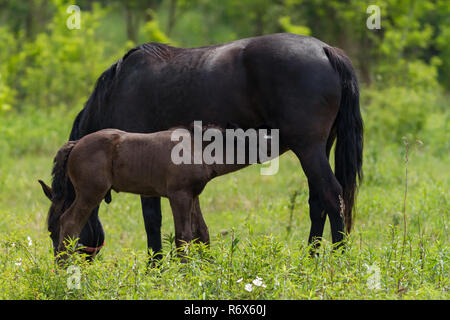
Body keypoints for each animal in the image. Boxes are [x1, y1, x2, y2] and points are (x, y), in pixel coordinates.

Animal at [66, 33, 362, 260]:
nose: (66, 260)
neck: (117, 90)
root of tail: (326, 50)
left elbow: (152, 220)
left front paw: (155, 269)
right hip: (318, 149)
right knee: (318, 201)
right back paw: (309, 260)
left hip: (308, 149)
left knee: (332, 196)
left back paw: (338, 259)